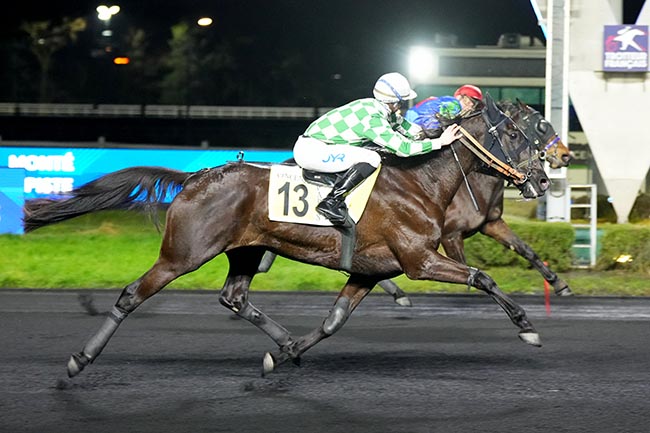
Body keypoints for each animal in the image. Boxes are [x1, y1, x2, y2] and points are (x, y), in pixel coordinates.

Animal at [24, 93, 548, 374]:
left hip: (245, 250)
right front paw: (527, 327)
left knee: (234, 298)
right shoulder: (419, 261)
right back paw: (80, 359)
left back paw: (282, 342)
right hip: (183, 253)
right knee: (133, 294)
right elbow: (483, 277)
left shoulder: (371, 271)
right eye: (518, 135)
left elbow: (334, 321)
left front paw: (290, 351)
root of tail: (196, 177)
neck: (420, 182)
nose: (542, 180)